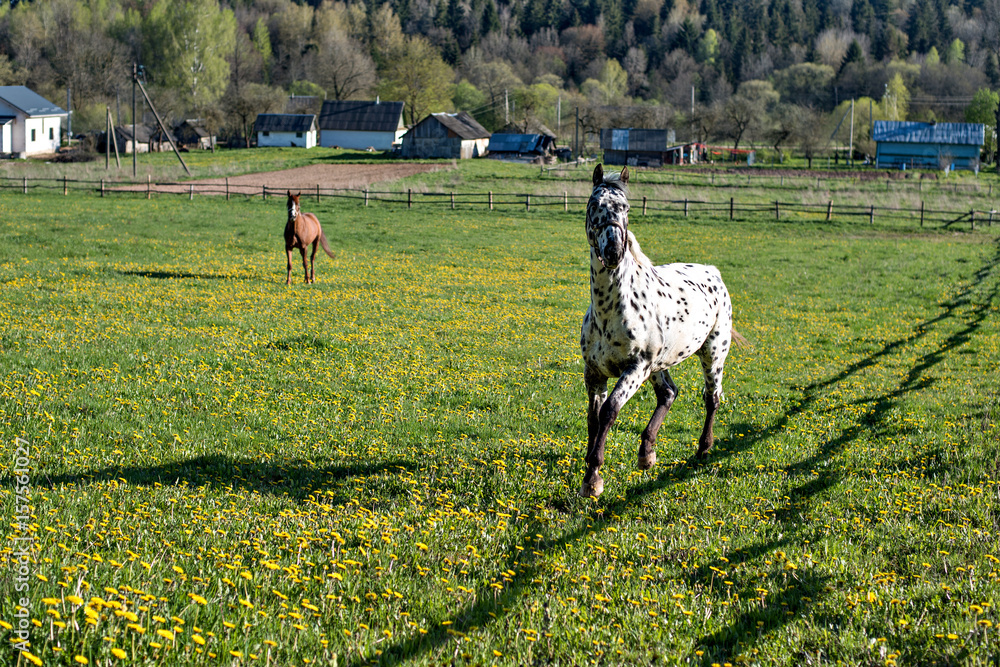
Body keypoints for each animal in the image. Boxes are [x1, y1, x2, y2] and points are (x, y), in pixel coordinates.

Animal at [578, 164, 745, 498]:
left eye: (626, 208)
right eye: (594, 205)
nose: (614, 250)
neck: (610, 308)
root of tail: (713, 272)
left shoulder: (634, 369)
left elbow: (609, 412)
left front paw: (594, 477)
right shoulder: (595, 374)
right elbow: (593, 418)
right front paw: (590, 474)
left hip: (712, 354)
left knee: (712, 398)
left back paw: (703, 450)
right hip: (659, 364)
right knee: (669, 393)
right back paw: (647, 453)